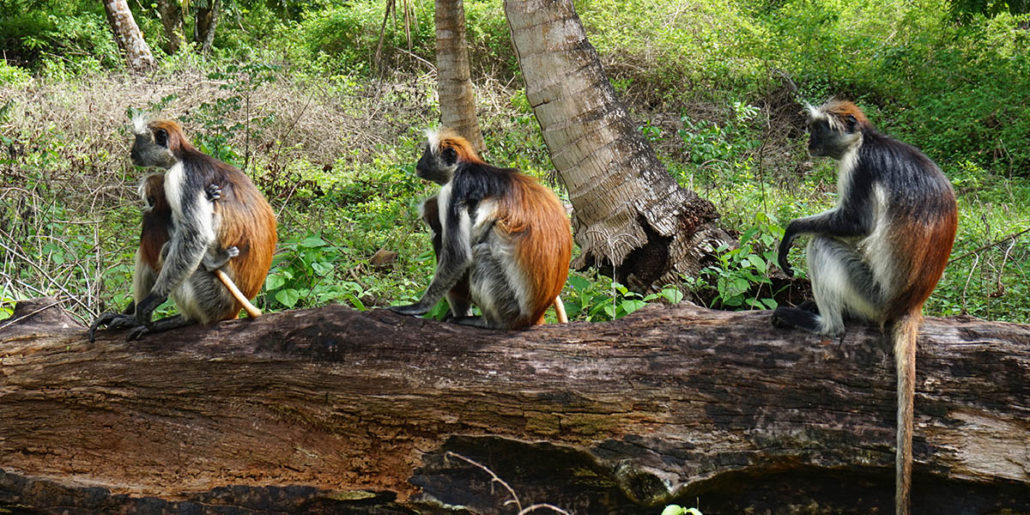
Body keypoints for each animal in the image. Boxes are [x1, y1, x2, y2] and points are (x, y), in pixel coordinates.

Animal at [89, 117, 278, 341]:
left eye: (138, 140)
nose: (131, 152)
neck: (185, 156)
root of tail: (234, 310)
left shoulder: (180, 177)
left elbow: (195, 236)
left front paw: (150, 302)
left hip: (213, 299)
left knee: (168, 246)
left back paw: (183, 319)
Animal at [391, 128, 576, 329]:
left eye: (425, 153)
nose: (418, 162)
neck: (468, 166)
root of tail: (534, 315)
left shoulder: (454, 189)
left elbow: (458, 257)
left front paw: (417, 307)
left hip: (509, 307)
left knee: (477, 254)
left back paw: (485, 321)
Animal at [774, 99, 959, 510]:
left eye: (819, 129)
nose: (808, 141)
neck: (867, 140)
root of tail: (908, 305)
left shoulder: (861, 167)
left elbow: (856, 223)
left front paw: (792, 230)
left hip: (871, 295)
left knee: (824, 243)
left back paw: (824, 323)